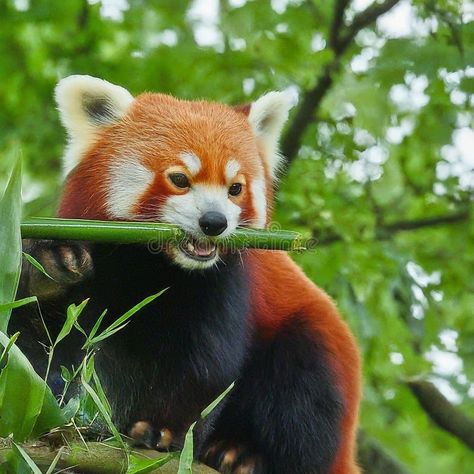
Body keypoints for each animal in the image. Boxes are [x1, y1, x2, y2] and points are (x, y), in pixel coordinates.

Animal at [13, 76, 362, 472]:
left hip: (318, 348)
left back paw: (241, 453)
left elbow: (208, 365)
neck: (156, 263)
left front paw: (163, 429)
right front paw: (51, 268)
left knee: (302, 397)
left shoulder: (224, 283)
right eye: (180, 179)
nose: (214, 222)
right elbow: (44, 343)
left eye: (235, 188)